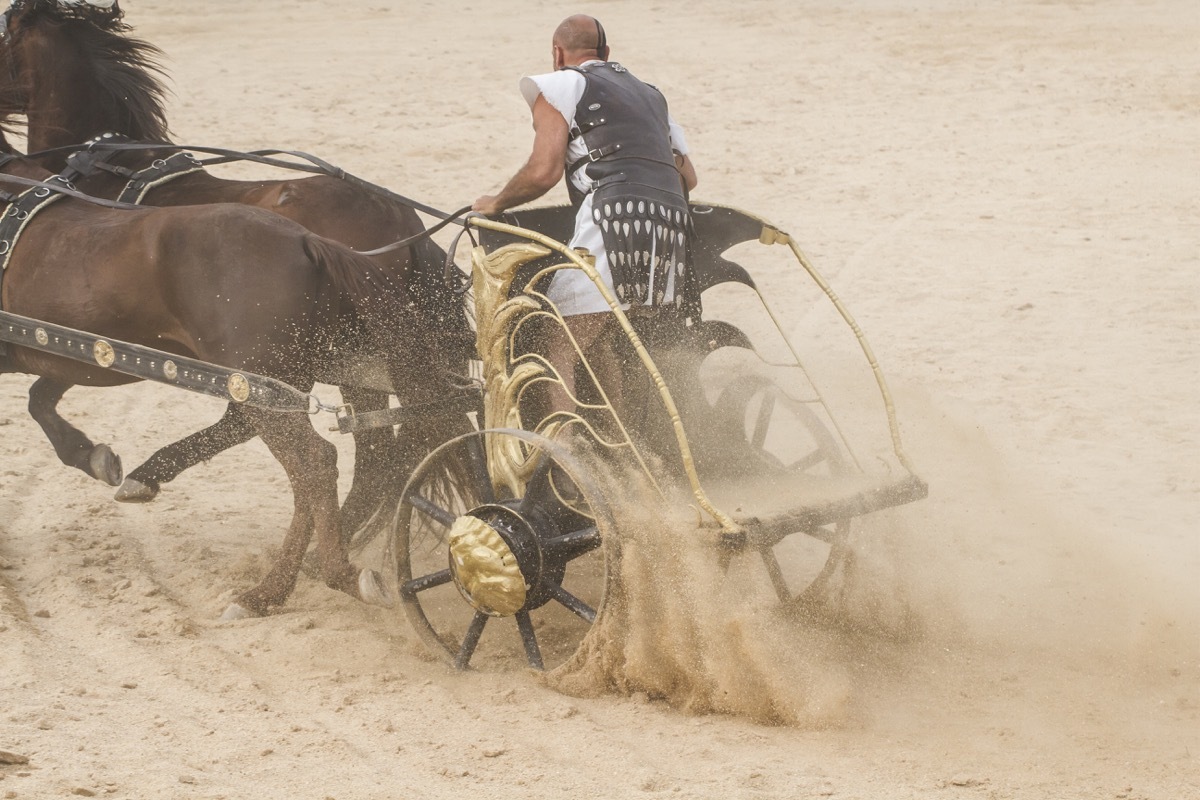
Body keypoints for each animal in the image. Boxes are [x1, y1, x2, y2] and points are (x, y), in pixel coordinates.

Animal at [0, 128, 451, 618]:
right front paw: (93, 455)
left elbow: (39, 403)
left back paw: (302, 581)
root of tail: (306, 240)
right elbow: (41, 400)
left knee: (317, 463)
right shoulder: (78, 352)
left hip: (262, 384)